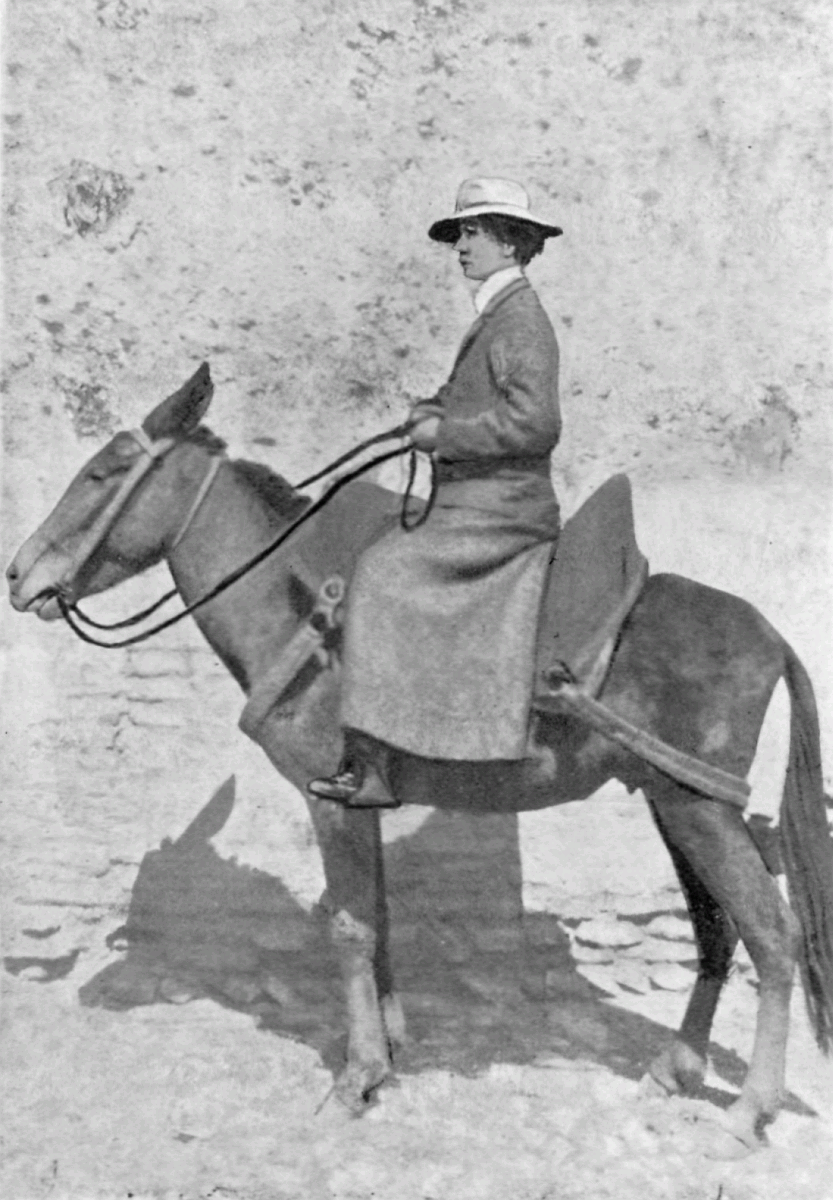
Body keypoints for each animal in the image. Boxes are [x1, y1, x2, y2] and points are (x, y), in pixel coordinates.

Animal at [7, 364, 833, 1156]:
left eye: (104, 473)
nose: (19, 575)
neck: (297, 611)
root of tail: (769, 634)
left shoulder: (327, 799)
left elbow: (347, 926)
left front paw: (357, 1077)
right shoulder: (361, 799)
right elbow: (374, 915)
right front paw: (390, 1046)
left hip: (701, 809)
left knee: (772, 934)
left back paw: (747, 1113)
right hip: (671, 799)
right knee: (717, 929)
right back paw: (675, 1069)